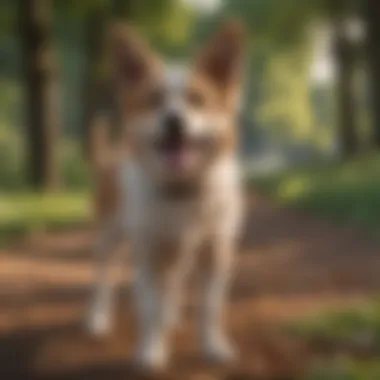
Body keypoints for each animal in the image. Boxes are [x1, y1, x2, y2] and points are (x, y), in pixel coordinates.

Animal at [86, 20, 246, 372]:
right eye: (154, 100)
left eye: (197, 99)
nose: (173, 119)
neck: (181, 190)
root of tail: (114, 152)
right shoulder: (147, 251)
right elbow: (149, 306)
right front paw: (152, 350)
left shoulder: (215, 250)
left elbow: (209, 307)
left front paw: (213, 346)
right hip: (109, 236)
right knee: (103, 277)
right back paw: (98, 318)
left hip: (177, 251)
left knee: (172, 283)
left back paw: (171, 315)